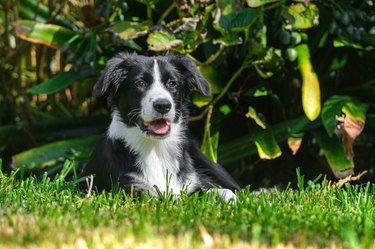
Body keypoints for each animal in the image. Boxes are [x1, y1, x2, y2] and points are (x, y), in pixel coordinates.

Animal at [81, 53, 241, 202]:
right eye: (140, 83)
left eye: (172, 83)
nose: (163, 105)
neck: (156, 148)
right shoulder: (130, 189)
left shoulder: (191, 184)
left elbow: (218, 190)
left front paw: (229, 199)